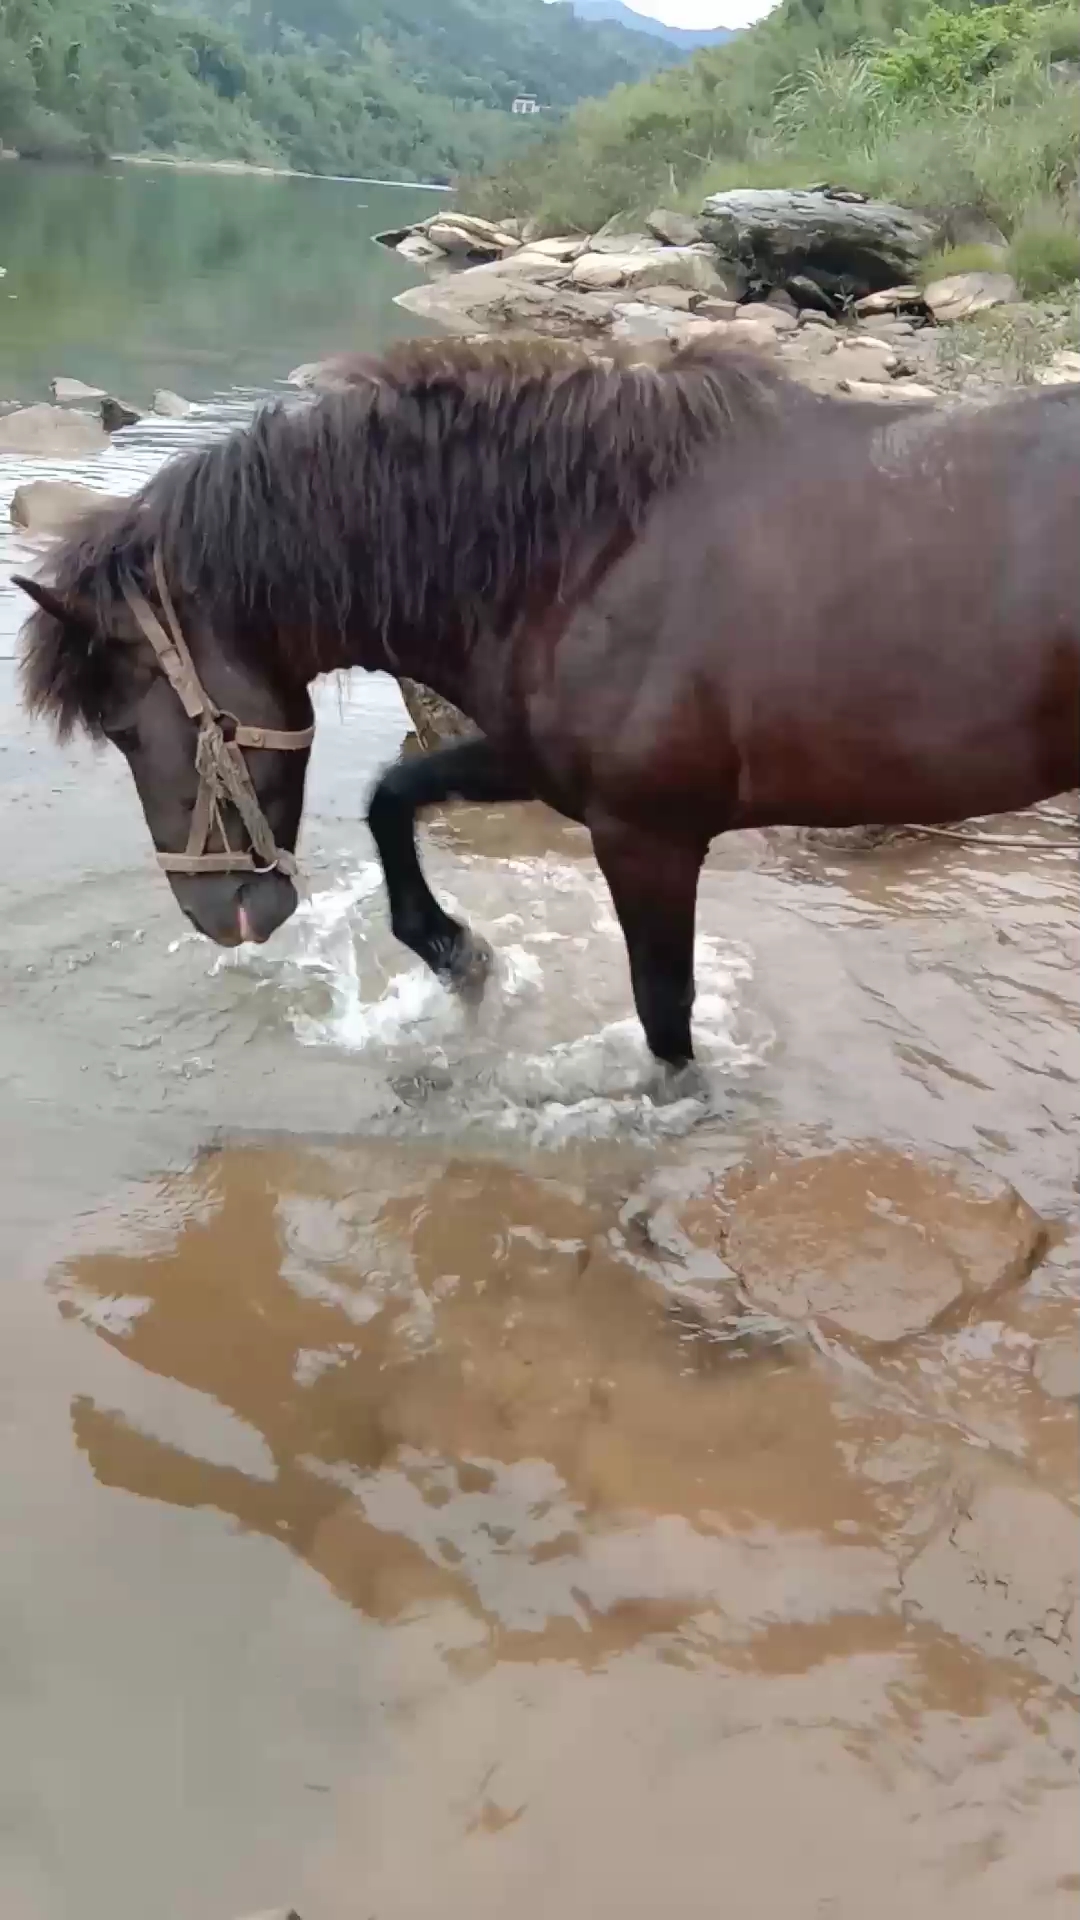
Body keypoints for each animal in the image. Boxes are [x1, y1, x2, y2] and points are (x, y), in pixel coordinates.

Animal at [15, 338, 1080, 1075]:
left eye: (122, 728)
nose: (219, 916)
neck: (596, 547)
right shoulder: (541, 766)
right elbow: (392, 796)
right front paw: (459, 955)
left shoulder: (647, 833)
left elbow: (664, 1015)